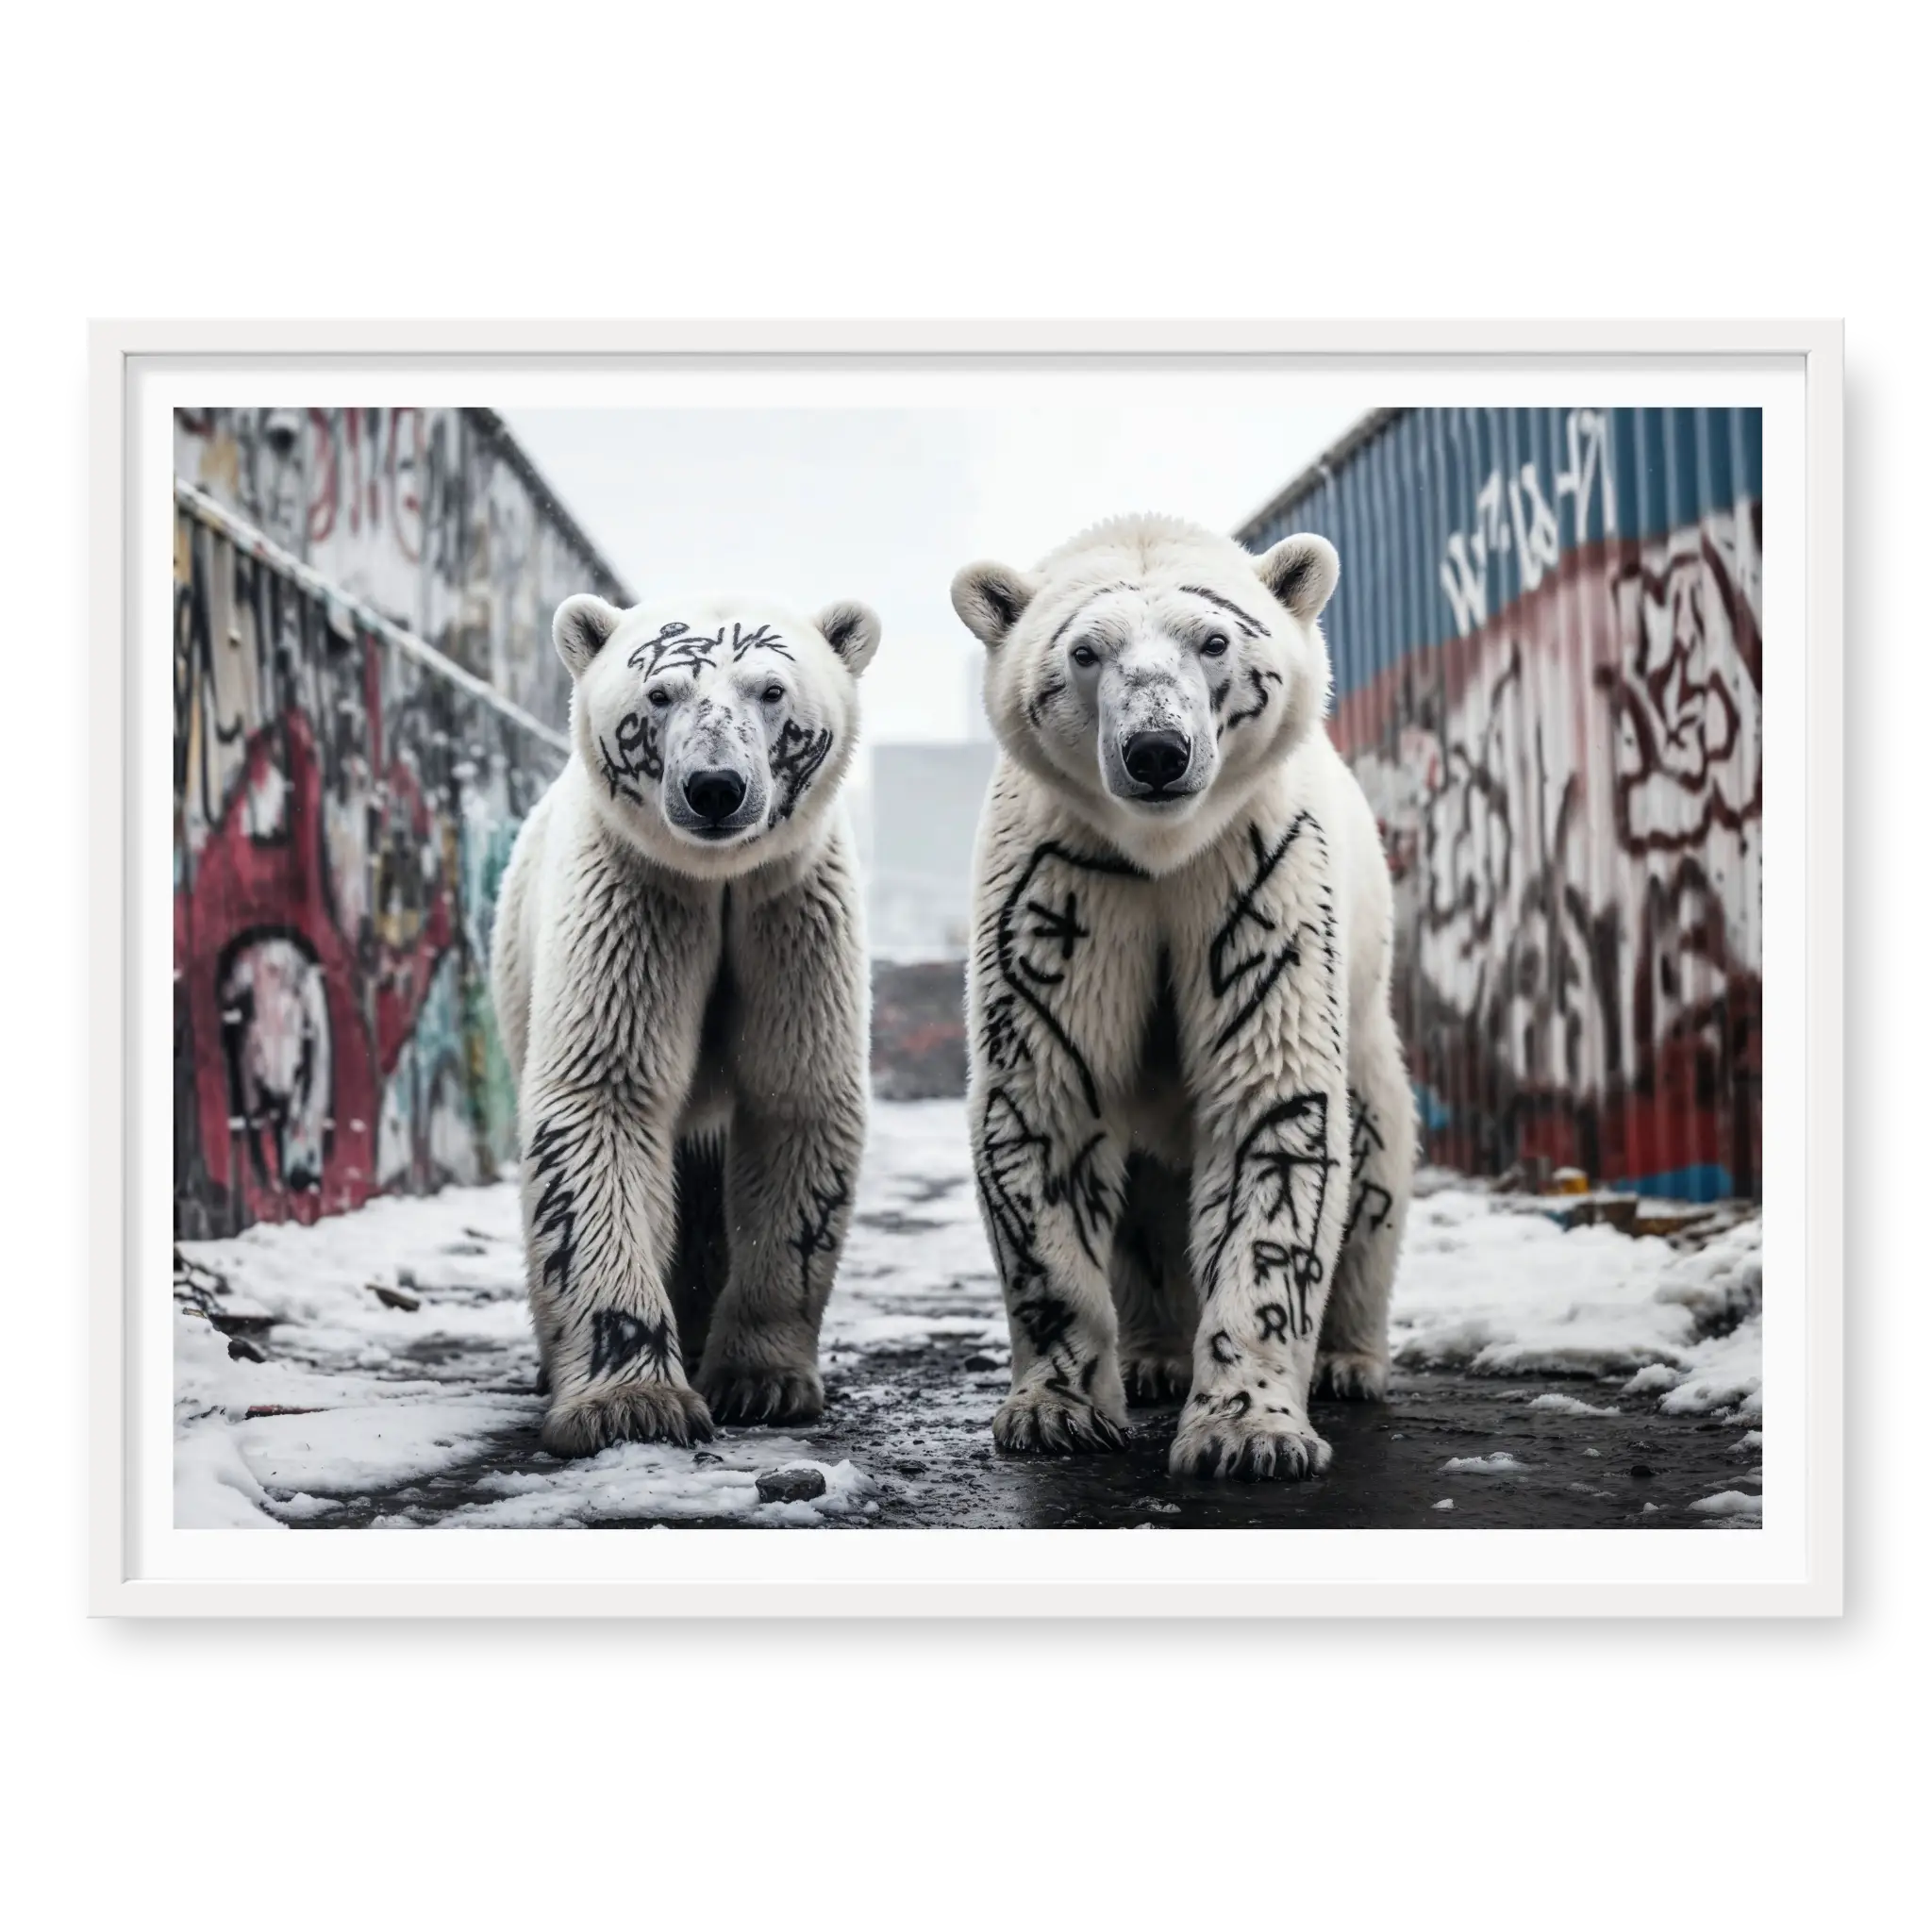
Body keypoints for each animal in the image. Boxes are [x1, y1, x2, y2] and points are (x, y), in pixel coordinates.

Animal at [490, 592, 880, 1457]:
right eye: (660, 693)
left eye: (771, 690)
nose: (714, 788)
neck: (719, 879)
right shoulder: (635, 894)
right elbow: (601, 1098)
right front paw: (630, 1401)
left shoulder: (790, 912)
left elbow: (794, 1101)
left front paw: (763, 1382)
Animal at [950, 515, 1415, 1482]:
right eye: (1086, 651)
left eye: (1214, 641)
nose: (1157, 751)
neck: (1162, 850)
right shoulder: (1063, 885)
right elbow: (1046, 1101)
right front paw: (1055, 1412)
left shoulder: (1258, 872)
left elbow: (1274, 1110)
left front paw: (1251, 1432)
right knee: (1142, 1210)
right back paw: (1153, 1357)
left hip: (1369, 1028)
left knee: (1376, 1162)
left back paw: (1350, 1360)